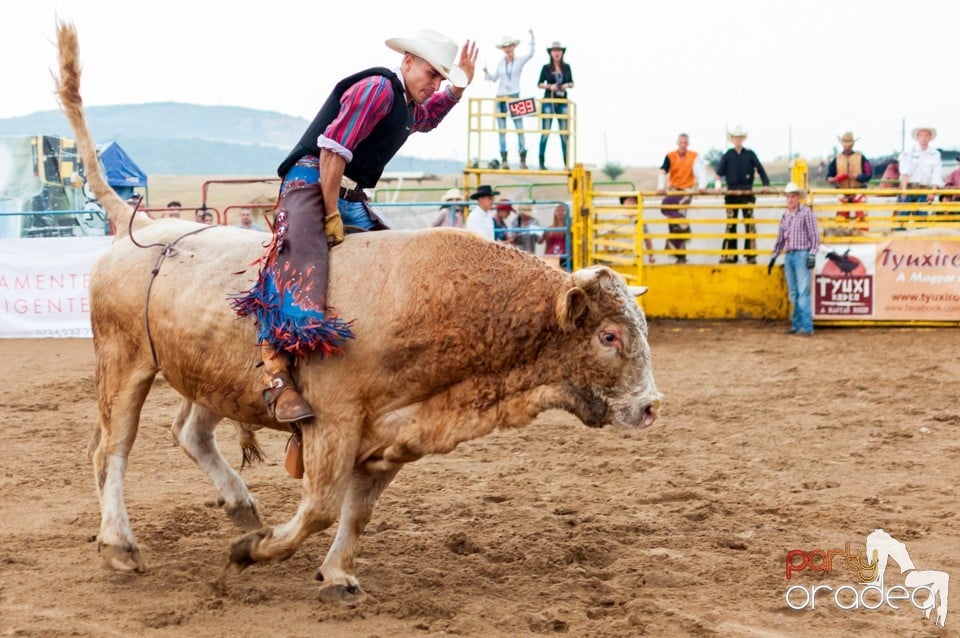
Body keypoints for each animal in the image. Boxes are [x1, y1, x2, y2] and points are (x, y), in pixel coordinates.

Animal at [54, 20, 660, 600]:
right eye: (609, 336)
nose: (651, 407)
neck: (434, 300)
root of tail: (139, 226)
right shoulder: (334, 425)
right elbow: (321, 508)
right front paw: (252, 553)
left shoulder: (391, 437)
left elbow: (357, 512)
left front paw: (335, 573)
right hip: (124, 365)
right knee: (110, 449)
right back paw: (120, 544)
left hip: (213, 376)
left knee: (188, 432)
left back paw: (240, 507)